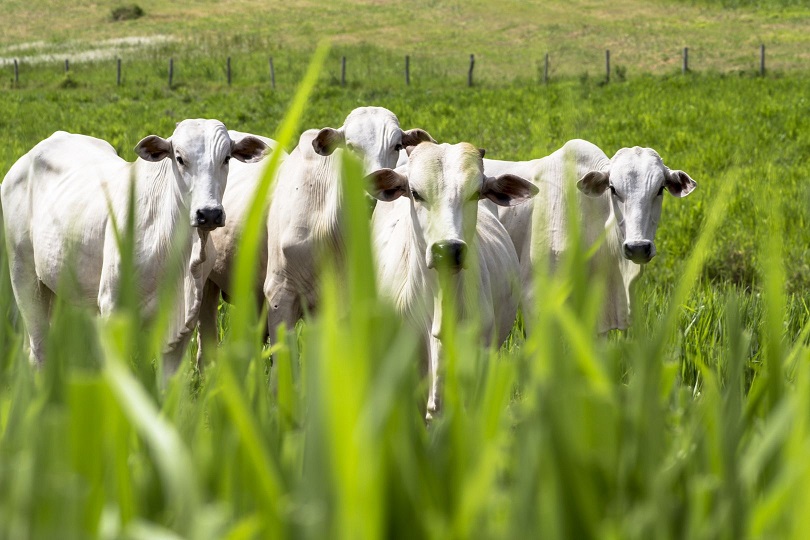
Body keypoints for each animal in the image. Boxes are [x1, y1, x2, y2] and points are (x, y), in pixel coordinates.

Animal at [1, 120, 270, 374]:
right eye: (180, 158)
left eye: (226, 158)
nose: (209, 214)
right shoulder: (111, 311)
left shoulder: (182, 323)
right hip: (23, 278)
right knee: (39, 349)